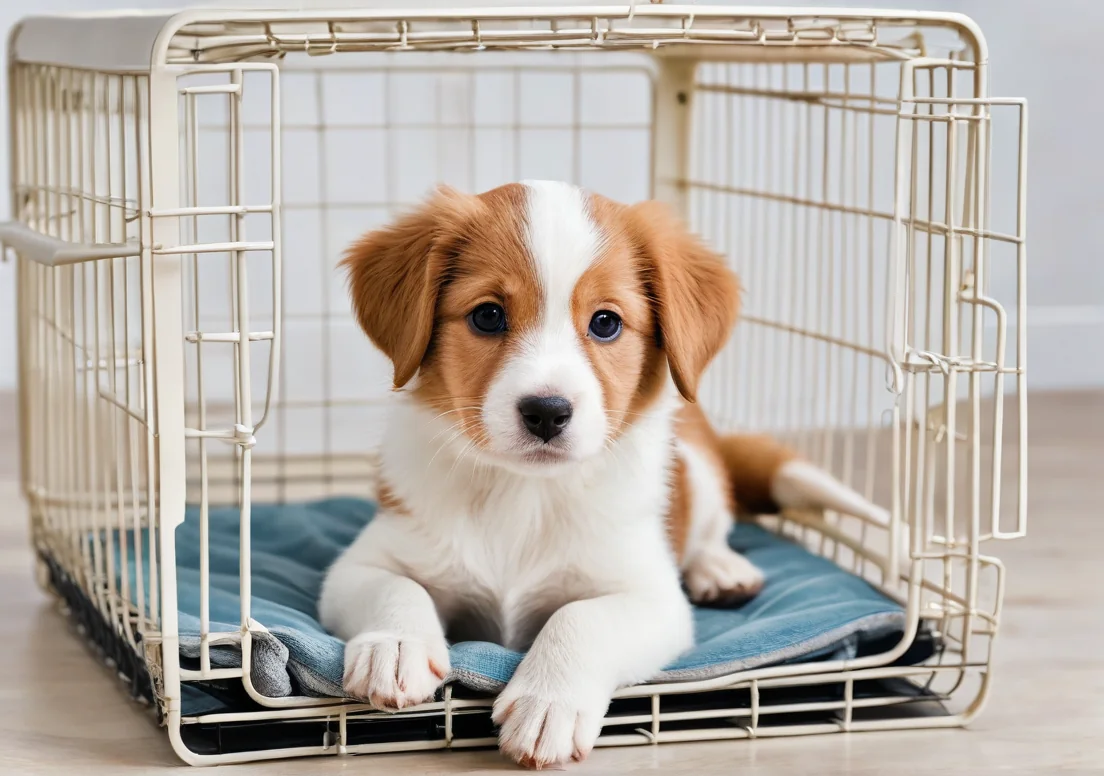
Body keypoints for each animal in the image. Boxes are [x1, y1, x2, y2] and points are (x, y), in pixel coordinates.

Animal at [320, 182, 887, 772]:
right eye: (488, 316)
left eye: (606, 322)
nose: (546, 412)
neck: (525, 495)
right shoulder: (360, 562)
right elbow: (396, 585)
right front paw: (395, 646)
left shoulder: (653, 598)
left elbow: (580, 617)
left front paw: (549, 702)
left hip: (700, 470)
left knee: (713, 528)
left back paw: (721, 569)